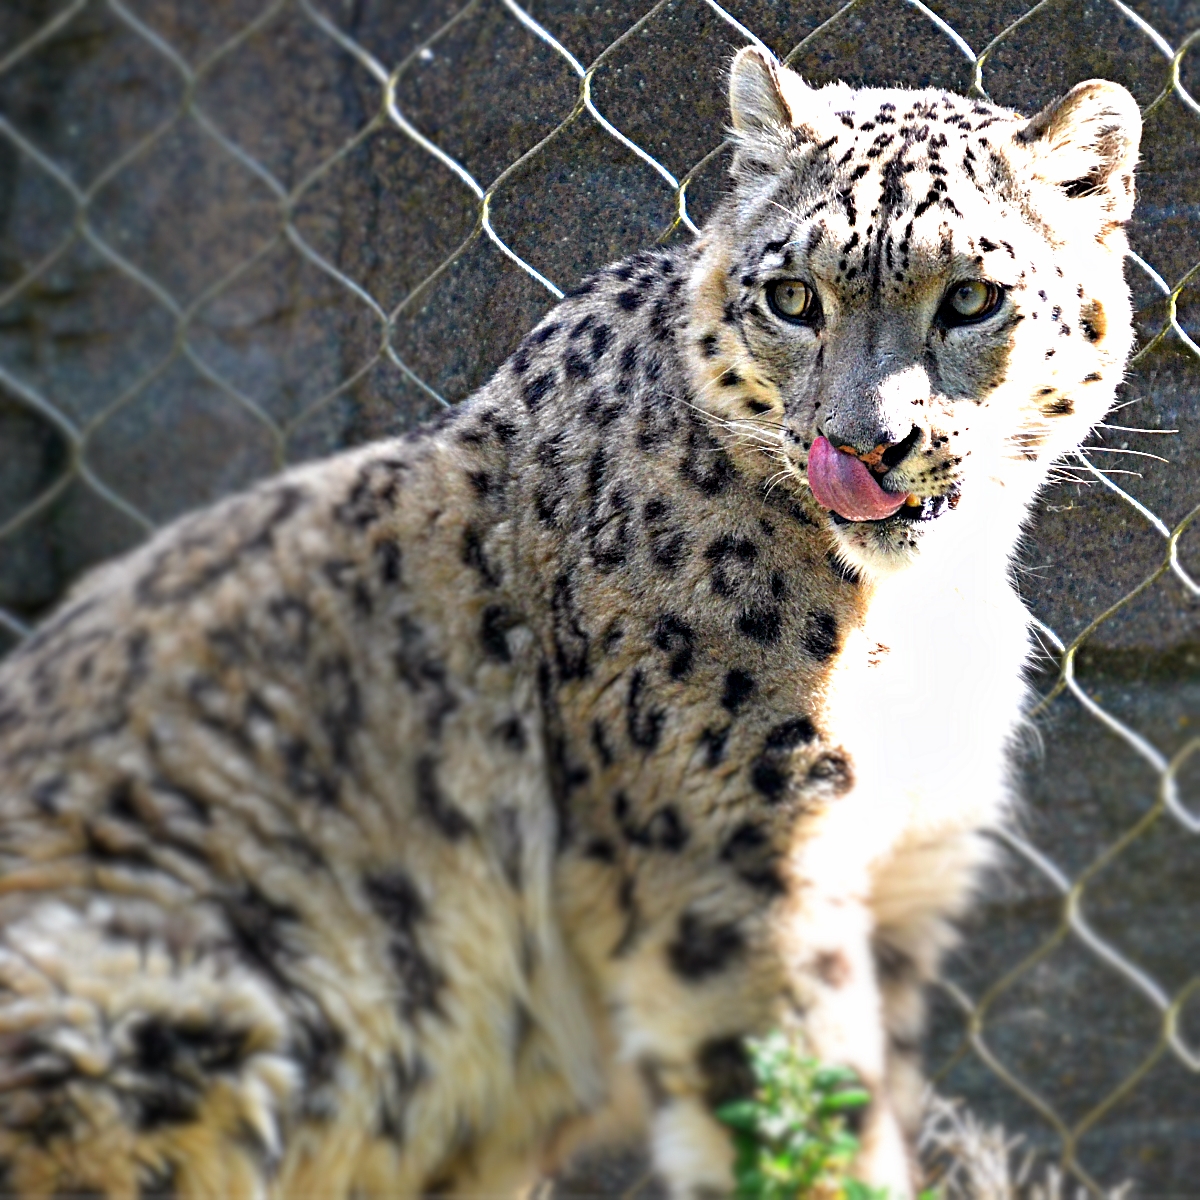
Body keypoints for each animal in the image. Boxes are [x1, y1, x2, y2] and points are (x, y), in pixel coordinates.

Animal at [0, 45, 1141, 1199]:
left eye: (972, 297)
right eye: (792, 296)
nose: (864, 444)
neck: (930, 603)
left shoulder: (905, 876)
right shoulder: (741, 852)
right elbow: (801, 1114)